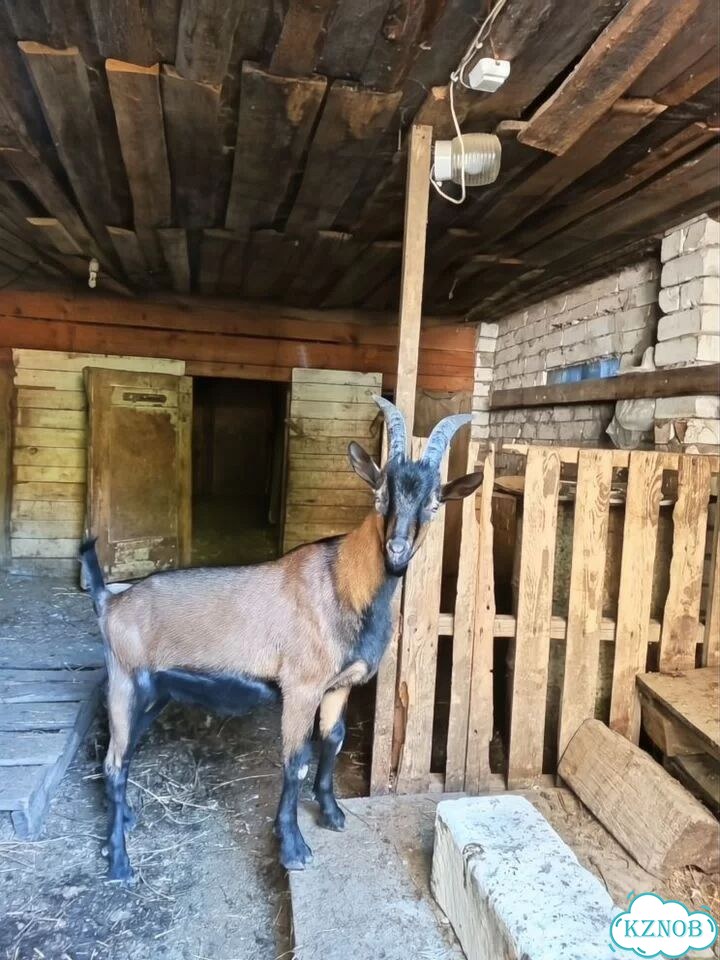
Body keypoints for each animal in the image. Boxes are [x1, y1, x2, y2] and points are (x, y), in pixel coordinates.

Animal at [80, 397, 482, 881]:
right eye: (381, 494)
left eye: (435, 503)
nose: (397, 550)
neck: (342, 582)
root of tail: (109, 602)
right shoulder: (301, 687)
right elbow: (296, 761)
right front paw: (292, 847)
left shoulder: (338, 686)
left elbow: (333, 740)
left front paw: (332, 814)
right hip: (126, 681)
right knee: (113, 763)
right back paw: (120, 862)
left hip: (153, 692)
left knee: (120, 754)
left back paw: (122, 826)